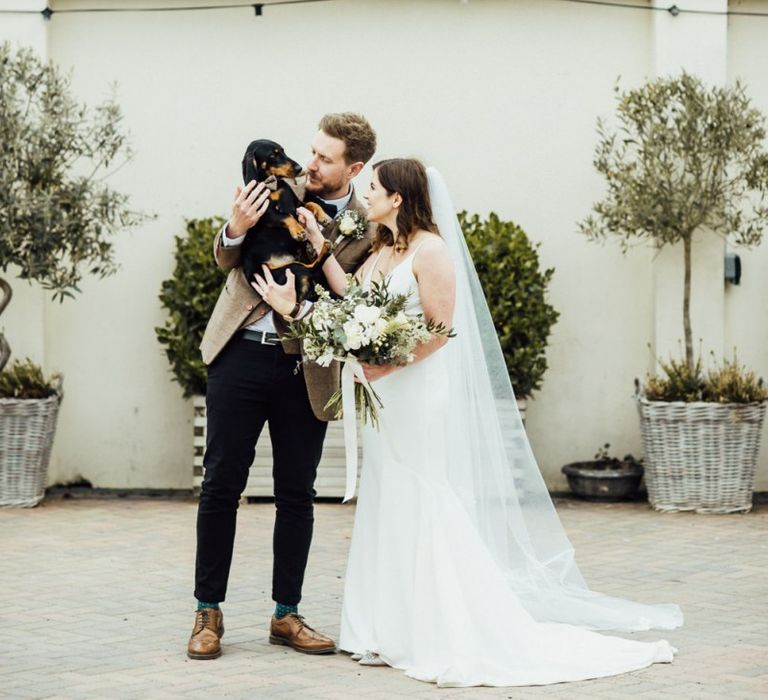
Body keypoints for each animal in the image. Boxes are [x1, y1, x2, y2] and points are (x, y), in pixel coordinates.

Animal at [240, 139, 332, 300]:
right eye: (273, 155)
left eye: (283, 151)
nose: (299, 168)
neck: (273, 186)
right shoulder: (266, 213)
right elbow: (286, 216)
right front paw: (298, 231)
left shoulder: (297, 205)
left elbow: (311, 204)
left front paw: (323, 217)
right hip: (289, 269)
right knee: (313, 268)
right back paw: (324, 248)